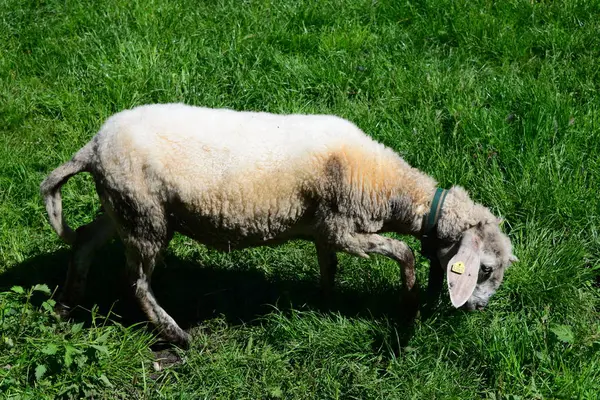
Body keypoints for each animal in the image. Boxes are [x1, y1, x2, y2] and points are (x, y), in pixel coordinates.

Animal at [42, 103, 516, 346]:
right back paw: (176, 334)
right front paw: (410, 301)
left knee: (84, 242)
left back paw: (66, 306)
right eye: (486, 270)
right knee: (136, 283)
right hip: (144, 217)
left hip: (124, 207)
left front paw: (325, 302)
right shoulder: (344, 229)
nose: (478, 309)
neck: (390, 187)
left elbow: (329, 267)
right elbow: (403, 254)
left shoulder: (325, 230)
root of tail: (93, 146)